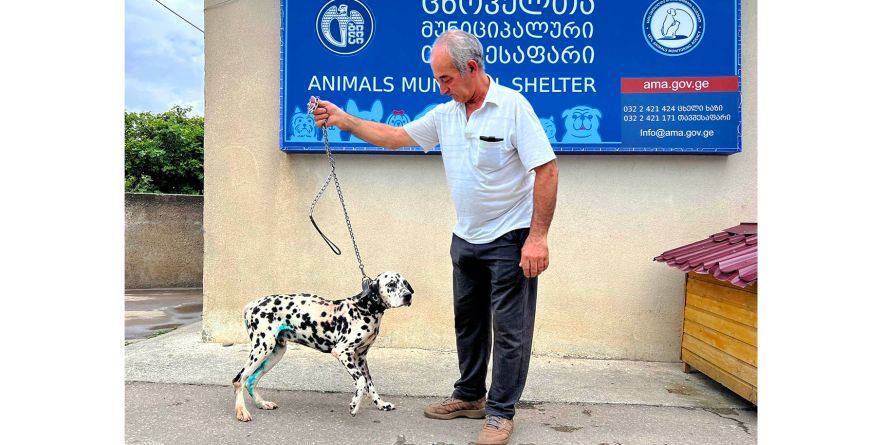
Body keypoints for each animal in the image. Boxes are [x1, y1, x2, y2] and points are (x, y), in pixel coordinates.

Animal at [234, 270, 418, 420]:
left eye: (405, 283)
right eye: (391, 284)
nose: (408, 295)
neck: (364, 309)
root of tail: (252, 305)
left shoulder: (361, 358)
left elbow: (370, 385)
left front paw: (381, 404)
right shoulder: (343, 352)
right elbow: (360, 381)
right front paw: (354, 405)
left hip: (275, 352)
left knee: (250, 380)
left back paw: (261, 403)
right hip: (262, 348)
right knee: (239, 380)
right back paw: (241, 412)